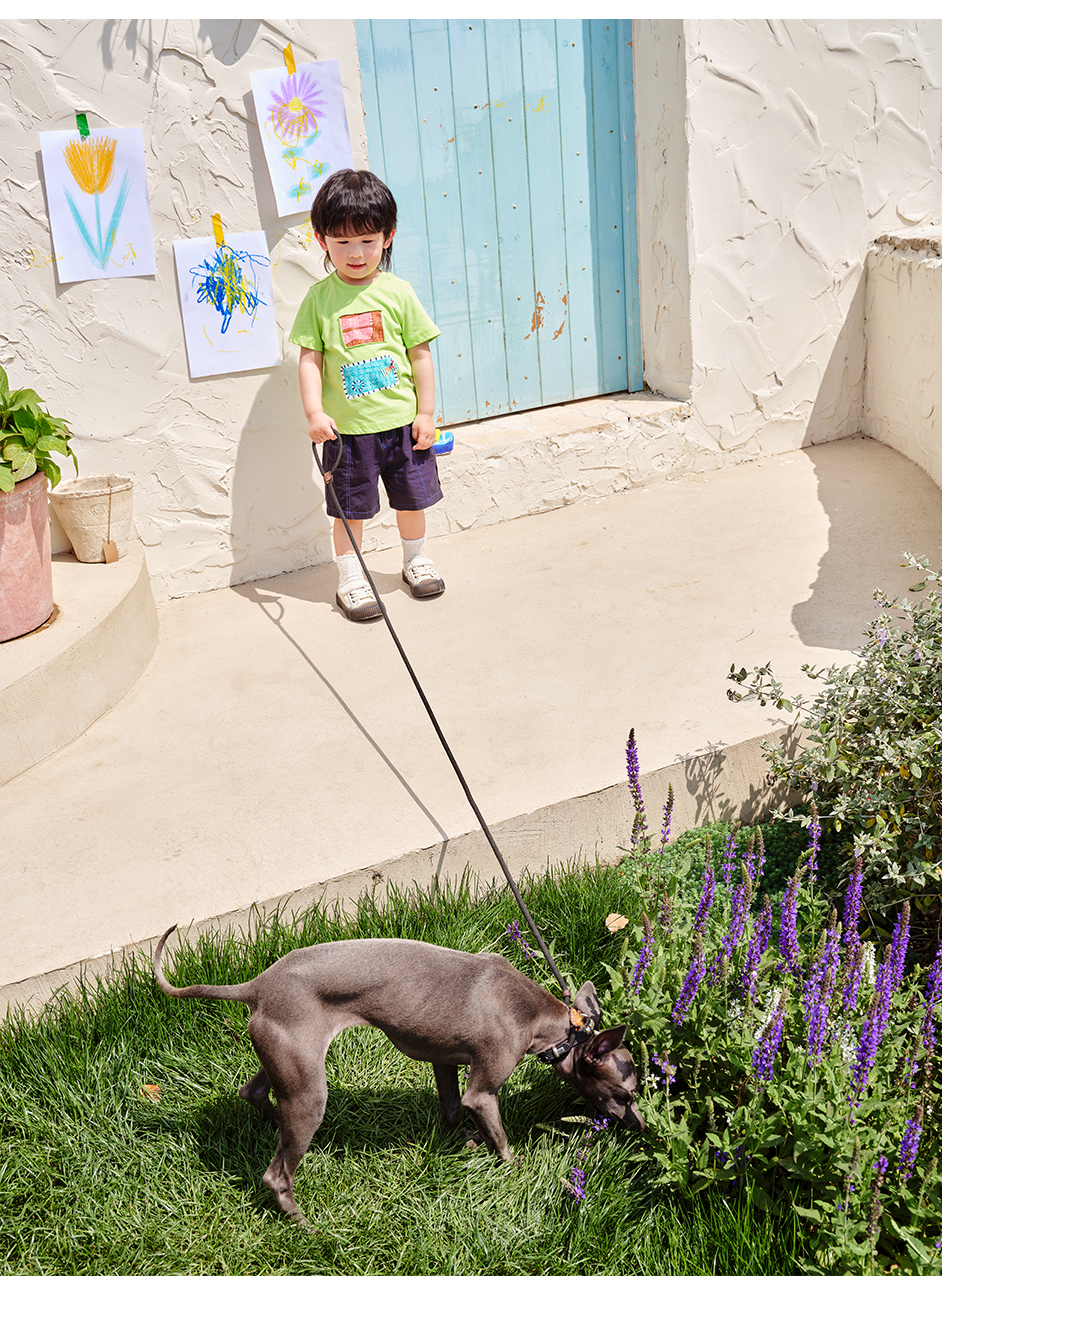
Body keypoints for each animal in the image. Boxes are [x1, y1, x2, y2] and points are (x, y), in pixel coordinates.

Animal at [151, 931, 641, 1218]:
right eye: (628, 1094)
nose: (640, 1127)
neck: (538, 1016)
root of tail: (257, 985)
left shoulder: (445, 1060)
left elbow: (450, 1108)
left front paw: (465, 1141)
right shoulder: (484, 1088)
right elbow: (499, 1137)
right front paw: (518, 1167)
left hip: (289, 1065)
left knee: (253, 1092)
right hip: (308, 1090)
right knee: (277, 1174)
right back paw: (302, 1222)